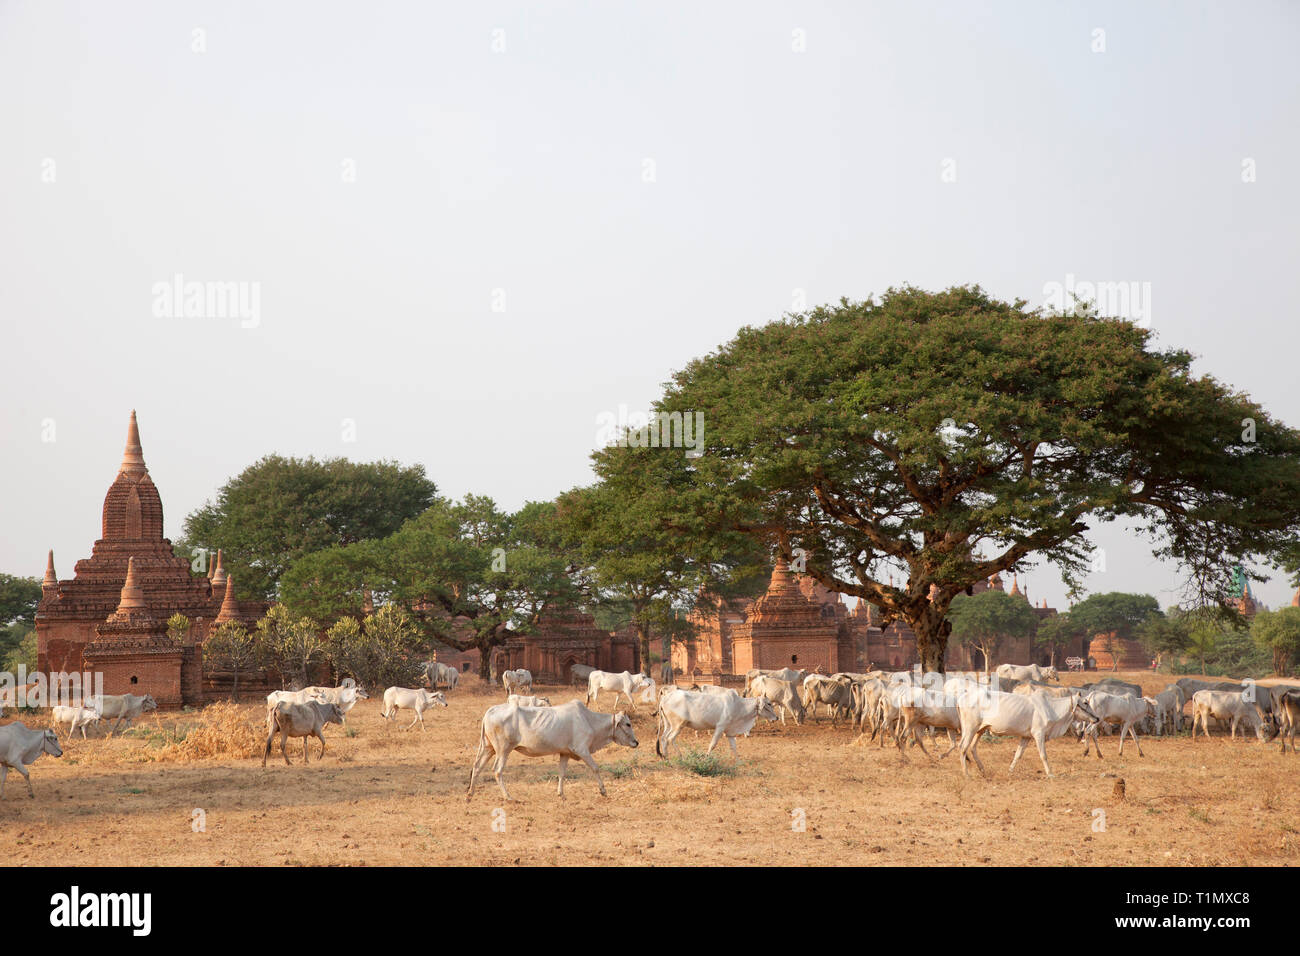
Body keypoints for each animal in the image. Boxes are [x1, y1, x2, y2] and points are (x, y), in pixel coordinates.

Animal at [467, 702, 639, 801]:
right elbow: (595, 768)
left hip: (488, 748)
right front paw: (603, 791)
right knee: (497, 770)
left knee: (477, 767)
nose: (636, 742)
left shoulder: (565, 753)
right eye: (628, 724)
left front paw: (561, 794)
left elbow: (562, 773)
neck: (589, 720)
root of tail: (490, 711)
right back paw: (508, 797)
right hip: (503, 749)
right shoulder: (582, 749)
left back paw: (470, 794)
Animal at [956, 686, 1097, 780]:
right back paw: (966, 774)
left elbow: (1018, 755)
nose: (1097, 718)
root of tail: (961, 698)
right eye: (1085, 702)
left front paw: (1010, 772)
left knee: (973, 748)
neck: (1051, 708)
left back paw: (983, 770)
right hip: (970, 728)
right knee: (963, 747)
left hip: (980, 729)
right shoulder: (1039, 734)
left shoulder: (1026, 737)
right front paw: (1050, 774)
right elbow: (1043, 755)